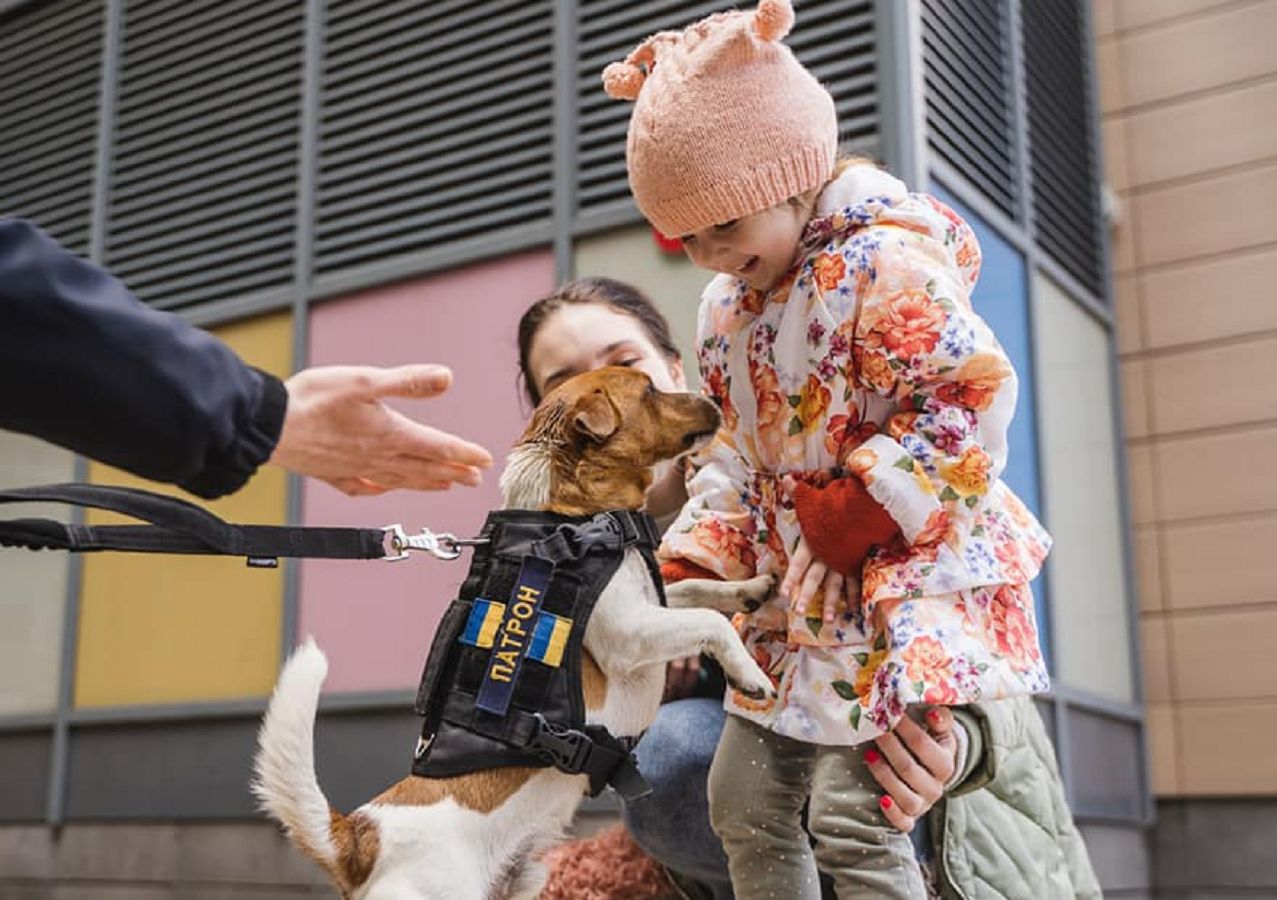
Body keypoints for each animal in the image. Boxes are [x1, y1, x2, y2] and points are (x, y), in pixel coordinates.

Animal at [246, 367, 766, 898]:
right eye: (650, 391)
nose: (714, 399)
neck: (576, 515)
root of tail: (361, 836)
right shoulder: (628, 635)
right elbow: (710, 622)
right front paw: (749, 674)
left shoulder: (653, 607)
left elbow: (698, 590)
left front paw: (752, 589)